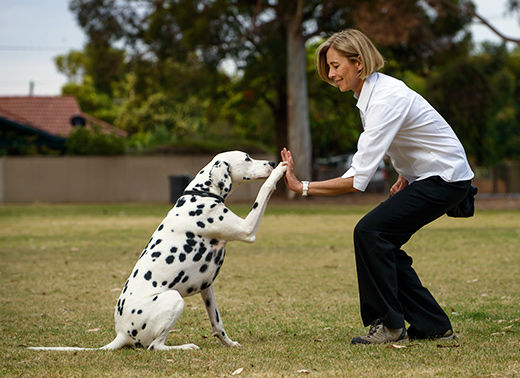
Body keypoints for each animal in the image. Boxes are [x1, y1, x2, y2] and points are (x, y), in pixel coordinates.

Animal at [28, 151, 286, 352]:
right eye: (247, 158)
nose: (271, 162)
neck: (200, 194)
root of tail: (121, 333)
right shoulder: (247, 229)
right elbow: (264, 190)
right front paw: (280, 171)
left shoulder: (207, 288)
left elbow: (217, 325)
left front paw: (230, 343)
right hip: (174, 299)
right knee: (155, 346)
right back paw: (185, 347)